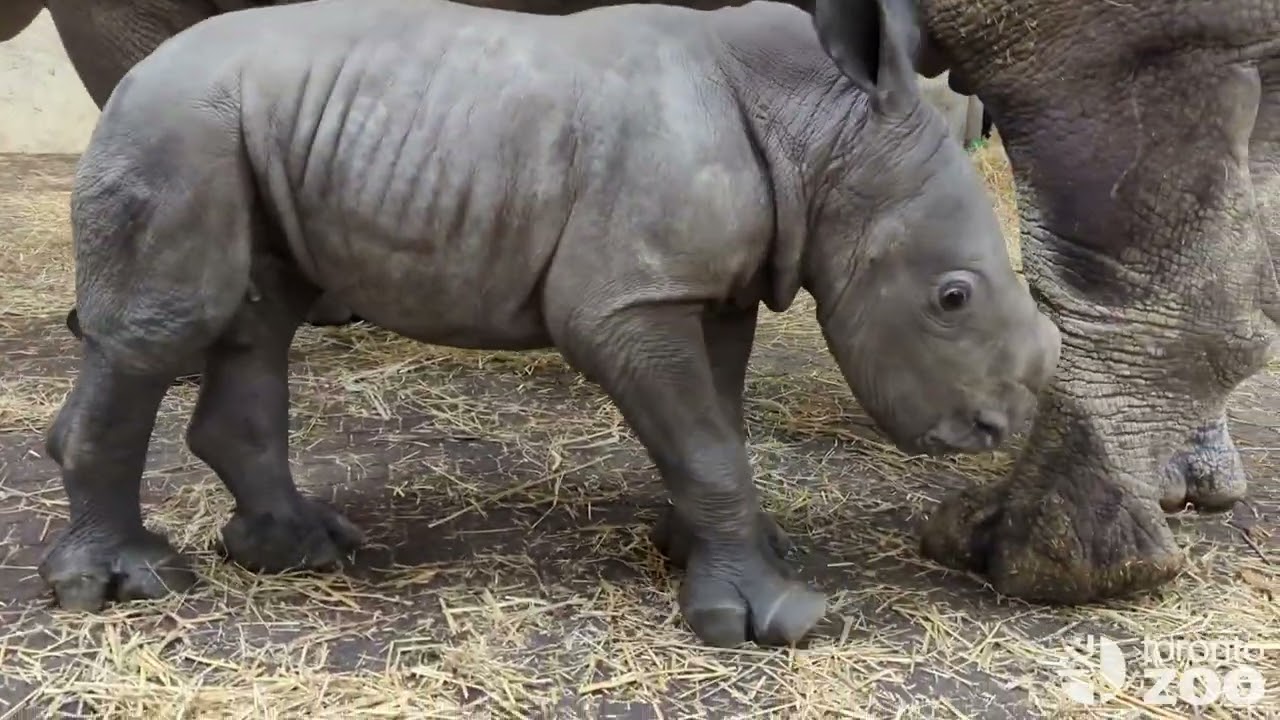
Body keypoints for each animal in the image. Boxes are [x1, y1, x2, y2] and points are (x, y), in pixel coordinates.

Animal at [41, 0, 1059, 647]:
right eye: (952, 298)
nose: (992, 428)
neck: (826, 131)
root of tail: (137, 76)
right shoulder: (625, 301)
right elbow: (706, 445)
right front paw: (775, 622)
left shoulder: (709, 287)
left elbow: (716, 429)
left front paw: (709, 551)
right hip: (178, 124)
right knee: (170, 327)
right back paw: (127, 587)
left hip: (245, 126)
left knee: (259, 317)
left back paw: (304, 553)